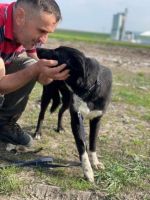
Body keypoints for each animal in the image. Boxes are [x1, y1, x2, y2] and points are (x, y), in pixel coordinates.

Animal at [34, 46, 111, 182]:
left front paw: (95, 162)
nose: (37, 48)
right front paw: (87, 171)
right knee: (41, 115)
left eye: (56, 52)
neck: (87, 90)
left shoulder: (96, 119)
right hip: (48, 94)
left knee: (60, 111)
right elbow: (81, 145)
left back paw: (60, 127)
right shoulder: (76, 119)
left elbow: (92, 142)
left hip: (66, 101)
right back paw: (38, 132)